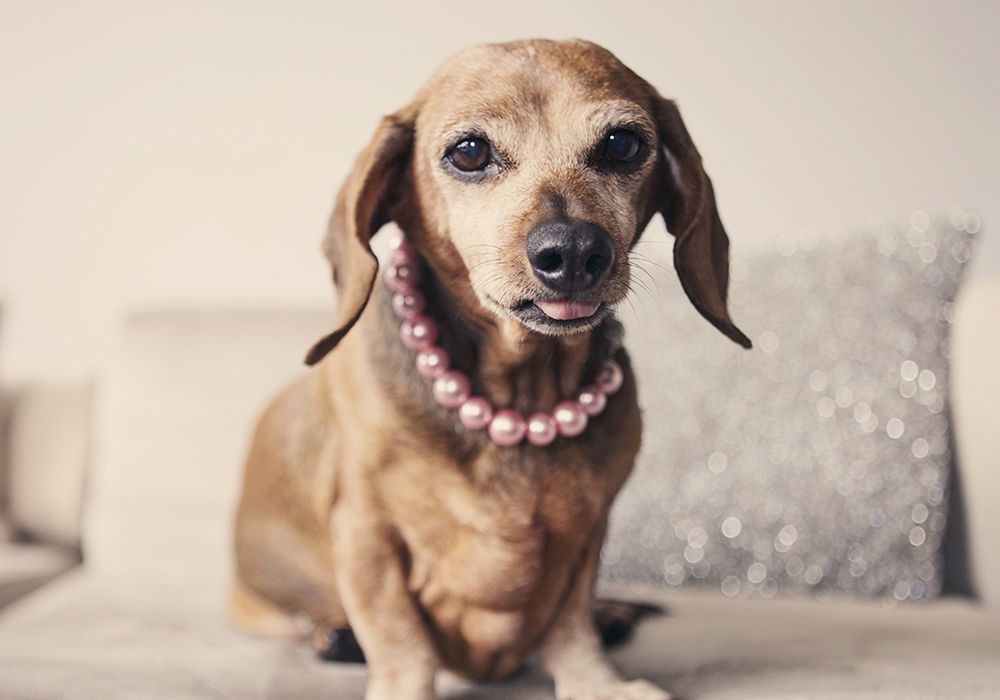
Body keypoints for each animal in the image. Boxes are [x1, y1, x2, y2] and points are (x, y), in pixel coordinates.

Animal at [231, 39, 750, 700]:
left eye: (623, 144)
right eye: (470, 151)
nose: (573, 251)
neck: (521, 396)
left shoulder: (586, 534)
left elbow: (570, 625)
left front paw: (596, 681)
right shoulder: (367, 536)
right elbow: (399, 636)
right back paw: (337, 636)